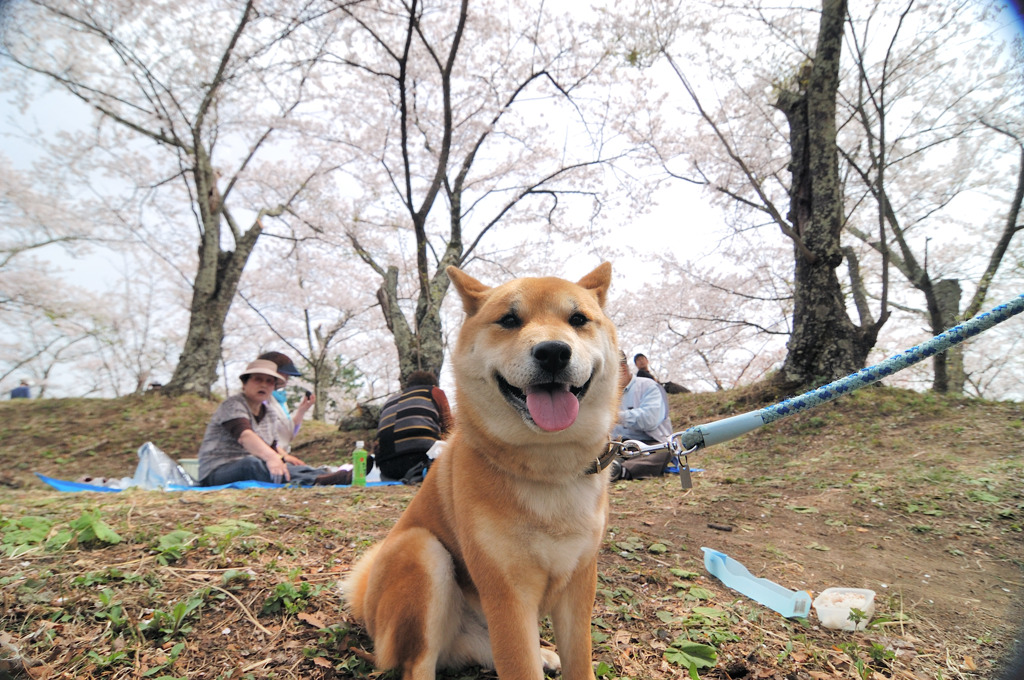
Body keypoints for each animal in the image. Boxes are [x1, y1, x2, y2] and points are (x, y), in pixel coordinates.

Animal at [339, 261, 618, 680]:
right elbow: (520, 667)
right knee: (417, 664)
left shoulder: (578, 581)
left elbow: (579, 663)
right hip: (424, 552)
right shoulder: (507, 592)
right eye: (509, 320)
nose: (553, 351)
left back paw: (544, 654)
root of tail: (367, 608)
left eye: (578, 319)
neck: (549, 468)